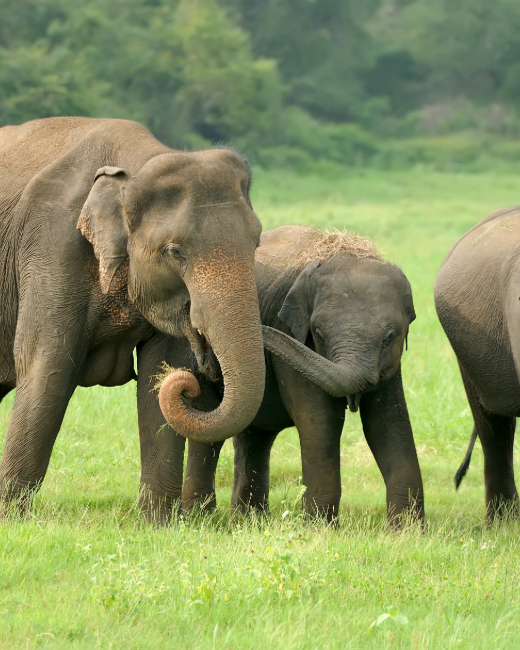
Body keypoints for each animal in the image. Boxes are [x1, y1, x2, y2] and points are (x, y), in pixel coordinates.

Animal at [0, 116, 288, 512]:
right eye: (175, 252)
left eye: (257, 241)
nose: (202, 373)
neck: (138, 163)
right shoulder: (51, 245)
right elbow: (47, 367)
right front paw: (12, 516)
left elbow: (160, 371)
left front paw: (157, 521)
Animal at [141, 225, 422, 524]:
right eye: (318, 333)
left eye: (390, 337)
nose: (201, 329)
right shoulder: (292, 337)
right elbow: (320, 420)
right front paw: (320, 528)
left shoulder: (391, 365)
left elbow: (388, 422)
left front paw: (408, 530)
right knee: (210, 430)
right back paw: (203, 519)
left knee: (254, 436)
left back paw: (248, 520)